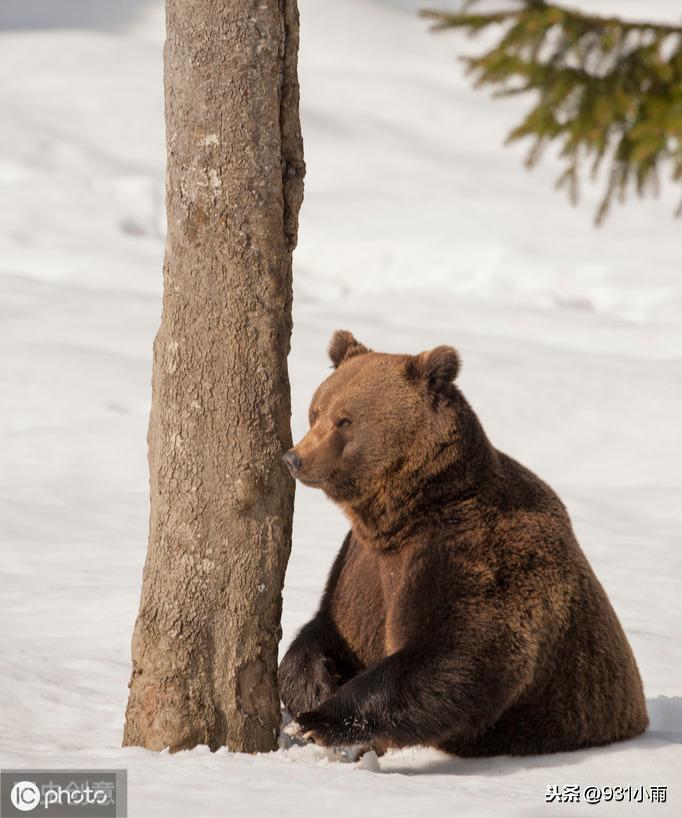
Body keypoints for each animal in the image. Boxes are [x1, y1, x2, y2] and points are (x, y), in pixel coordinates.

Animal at [278, 328, 648, 756]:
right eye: (315, 410)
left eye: (346, 420)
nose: (295, 458)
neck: (403, 514)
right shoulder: (359, 565)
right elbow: (329, 627)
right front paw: (312, 687)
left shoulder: (470, 553)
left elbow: (459, 653)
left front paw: (321, 720)